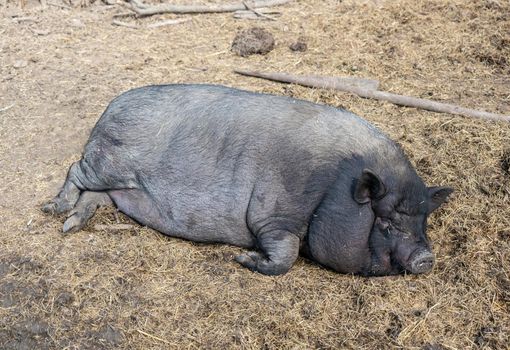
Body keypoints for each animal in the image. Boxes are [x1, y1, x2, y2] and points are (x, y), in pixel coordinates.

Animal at [41, 84, 452, 276]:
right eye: (385, 222)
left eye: (423, 221)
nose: (426, 258)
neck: (334, 187)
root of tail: (111, 106)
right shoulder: (272, 214)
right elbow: (285, 254)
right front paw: (242, 258)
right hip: (106, 163)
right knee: (75, 170)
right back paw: (53, 210)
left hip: (120, 184)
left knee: (97, 197)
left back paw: (70, 226)